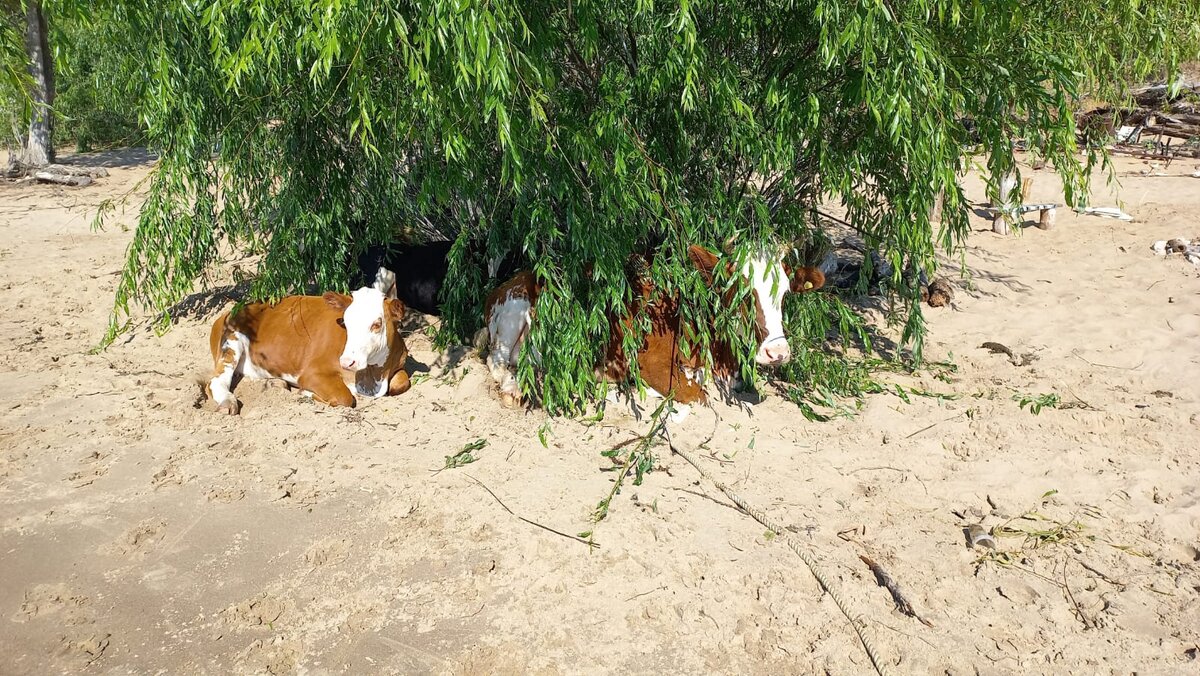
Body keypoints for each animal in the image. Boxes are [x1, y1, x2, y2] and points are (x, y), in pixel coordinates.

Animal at [206, 285, 412, 413]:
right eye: (345, 322)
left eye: (377, 324)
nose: (347, 362)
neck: (372, 378)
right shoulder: (312, 373)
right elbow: (344, 397)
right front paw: (306, 393)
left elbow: (401, 383)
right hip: (231, 341)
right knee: (217, 381)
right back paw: (227, 402)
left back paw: (276, 383)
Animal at [480, 246, 825, 417]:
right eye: (741, 292)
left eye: (785, 294)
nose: (777, 353)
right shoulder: (652, 362)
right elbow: (694, 396)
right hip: (513, 310)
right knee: (496, 361)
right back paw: (514, 388)